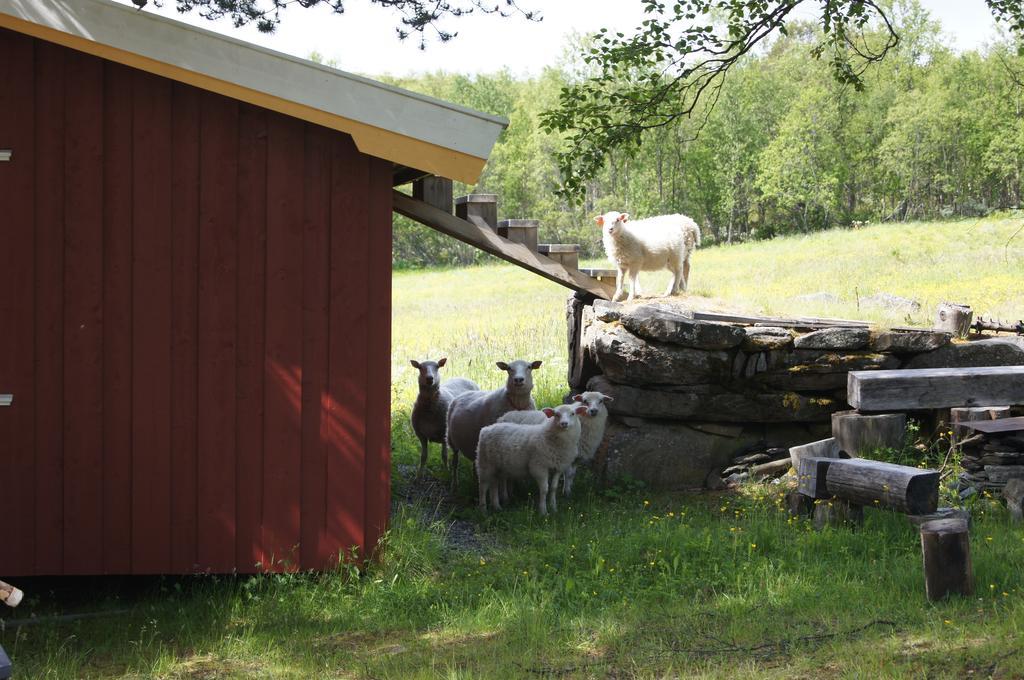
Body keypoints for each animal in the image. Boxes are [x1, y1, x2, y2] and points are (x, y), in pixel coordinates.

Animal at [448, 358, 544, 491]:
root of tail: (463, 394)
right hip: (451, 440)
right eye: (509, 368)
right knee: (455, 462)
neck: (518, 405)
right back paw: (454, 485)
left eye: (529, 367)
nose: (518, 380)